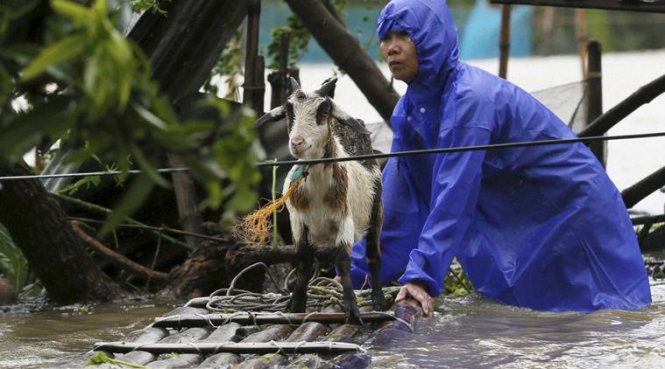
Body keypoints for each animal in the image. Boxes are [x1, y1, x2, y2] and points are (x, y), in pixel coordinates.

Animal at [254, 77, 384, 322]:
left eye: (323, 110)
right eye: (289, 110)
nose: (298, 142)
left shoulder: (344, 221)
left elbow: (342, 259)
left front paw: (352, 310)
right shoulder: (298, 222)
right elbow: (303, 260)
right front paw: (296, 304)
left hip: (377, 211)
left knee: (374, 254)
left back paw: (378, 299)